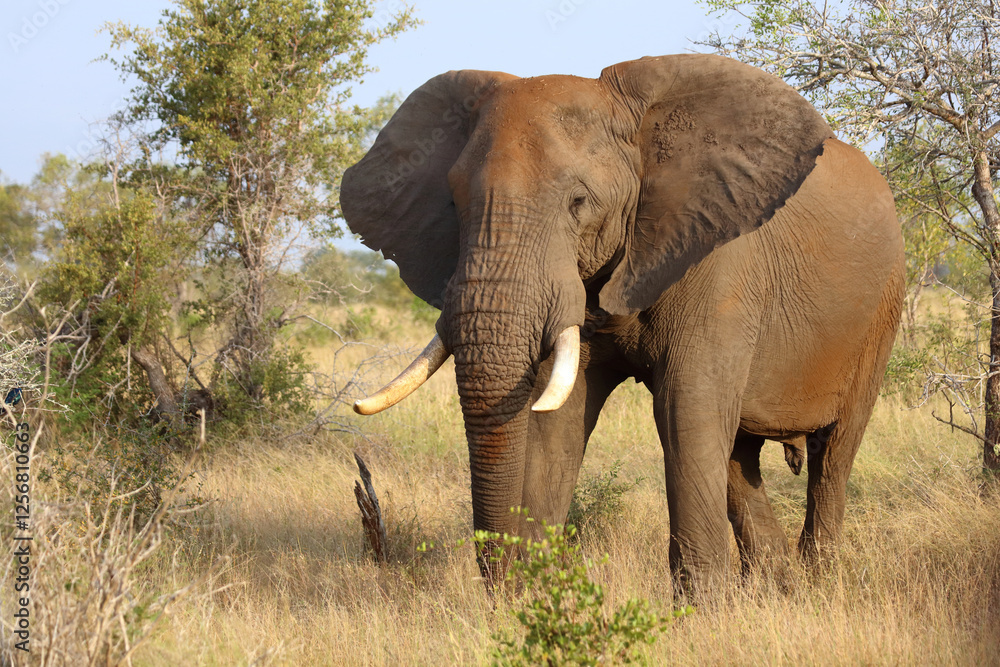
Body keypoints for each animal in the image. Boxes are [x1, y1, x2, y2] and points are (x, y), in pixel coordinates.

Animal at [340, 54, 904, 597]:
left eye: (578, 203)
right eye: (454, 204)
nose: (504, 588)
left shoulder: (720, 260)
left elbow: (684, 413)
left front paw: (701, 613)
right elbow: (556, 425)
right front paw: (534, 605)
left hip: (881, 312)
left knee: (832, 454)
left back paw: (816, 585)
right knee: (738, 456)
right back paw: (777, 590)